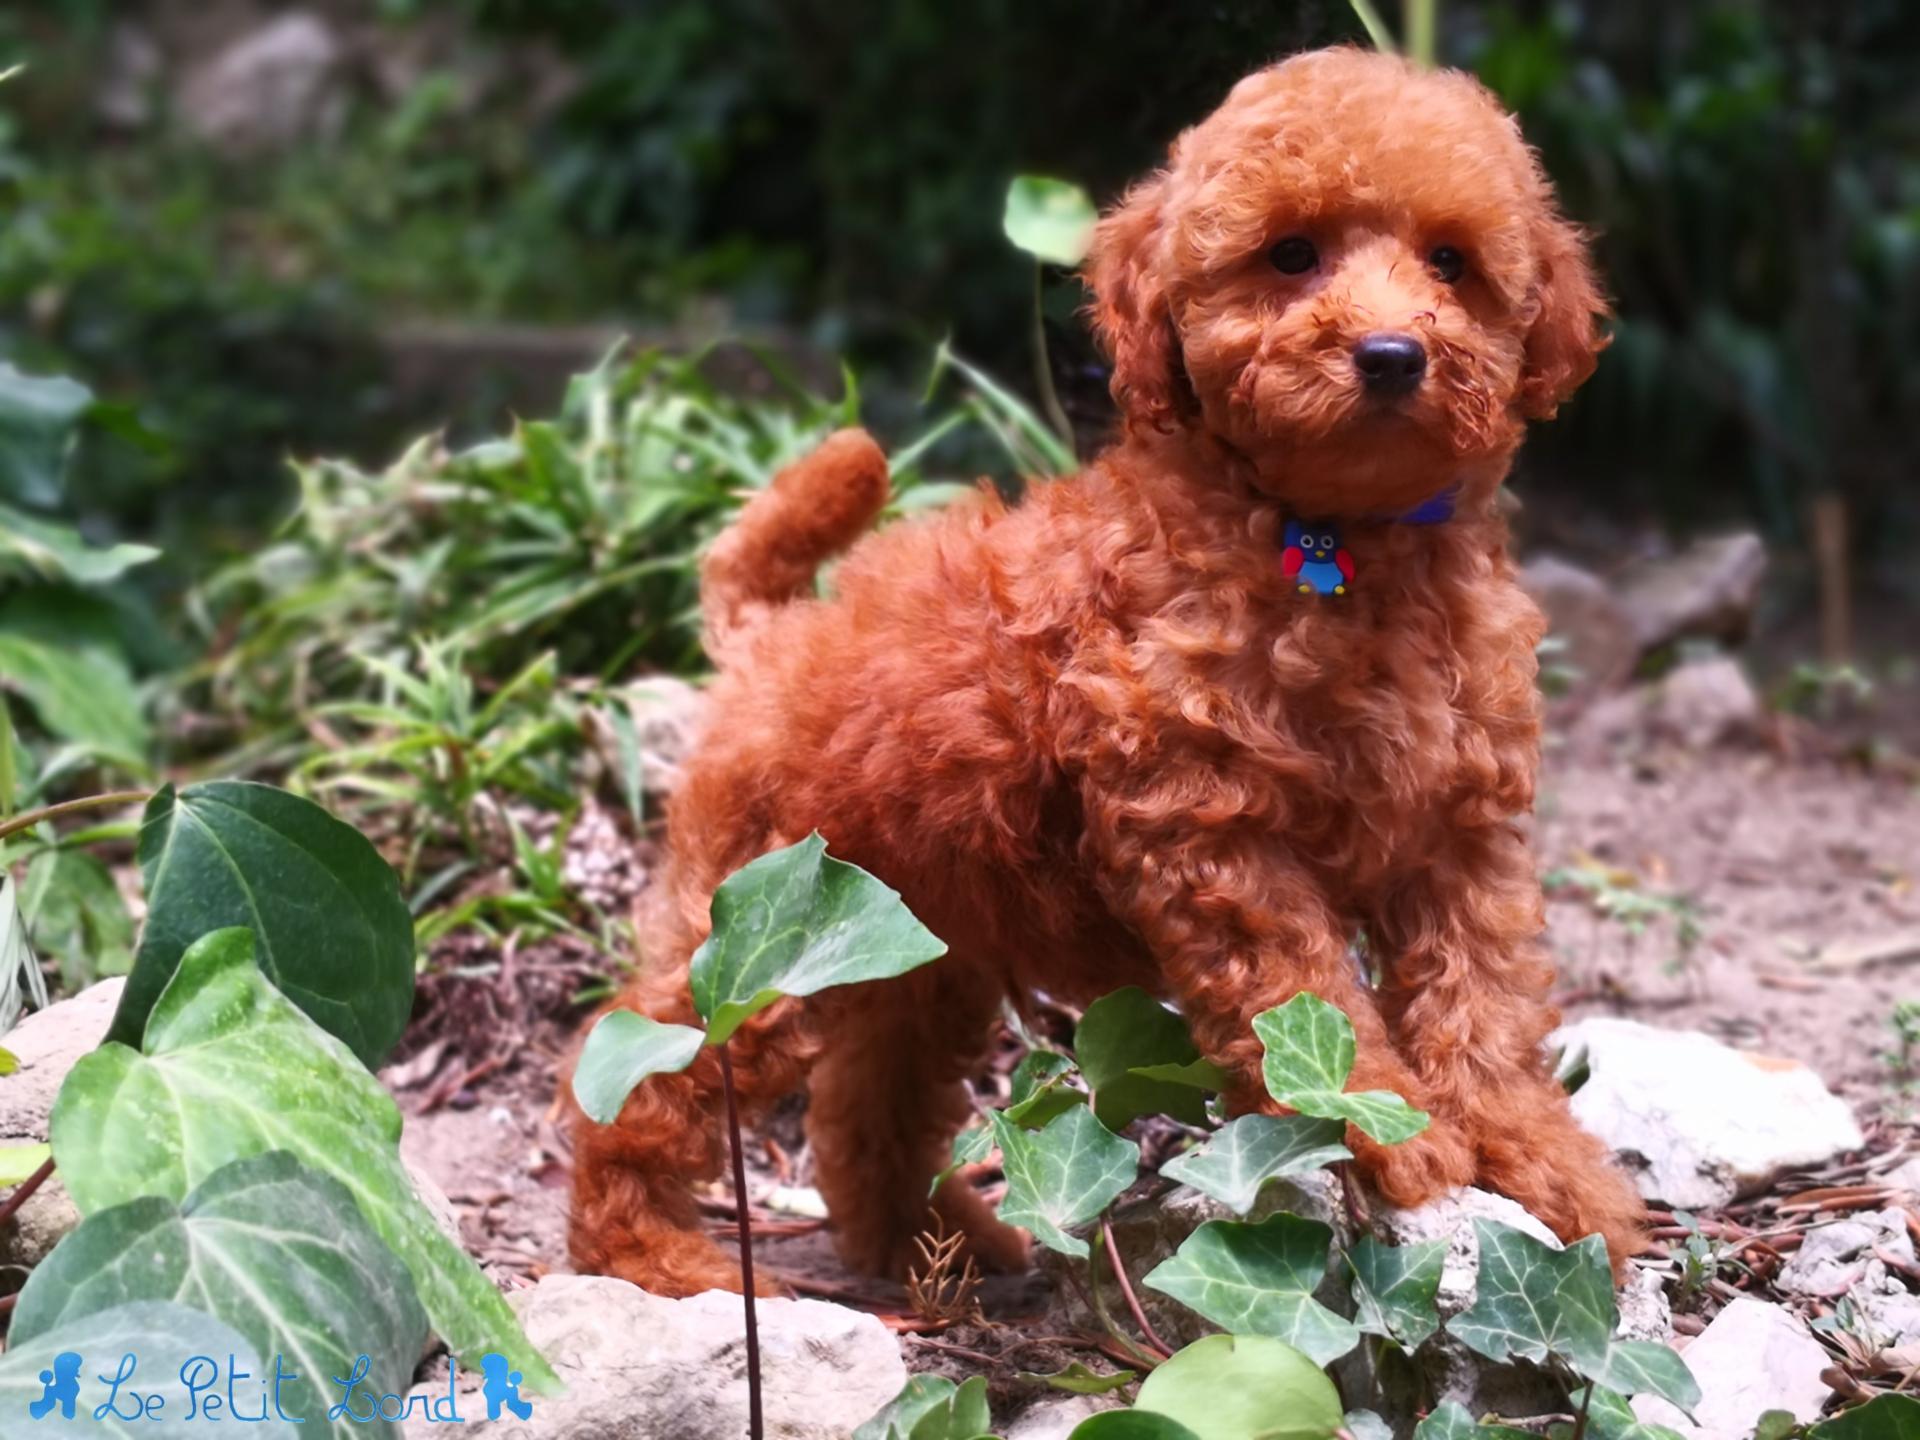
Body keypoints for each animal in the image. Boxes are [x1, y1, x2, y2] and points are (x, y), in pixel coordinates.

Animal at [568, 45, 1651, 1297]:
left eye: (1450, 262)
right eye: (1291, 255)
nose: (1390, 354)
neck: (1333, 540)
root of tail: (771, 635)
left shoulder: (1461, 834)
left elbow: (1488, 1001)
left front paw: (1541, 1162)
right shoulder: (1213, 829)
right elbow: (1307, 998)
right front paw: (1389, 1128)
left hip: (908, 942)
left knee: (865, 1101)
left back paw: (941, 1248)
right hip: (765, 933)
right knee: (638, 1063)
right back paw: (647, 1252)